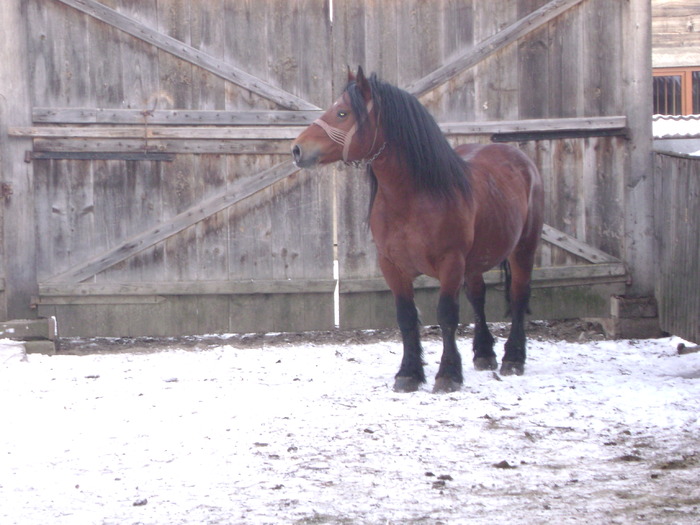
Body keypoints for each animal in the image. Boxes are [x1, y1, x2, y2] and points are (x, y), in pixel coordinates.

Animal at [292, 67, 544, 390]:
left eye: (342, 113)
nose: (297, 149)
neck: (414, 198)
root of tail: (520, 159)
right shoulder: (392, 266)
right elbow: (406, 317)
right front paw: (409, 373)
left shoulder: (451, 263)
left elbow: (446, 316)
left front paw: (448, 374)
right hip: (476, 262)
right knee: (478, 297)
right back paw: (484, 353)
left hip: (523, 249)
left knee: (519, 294)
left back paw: (514, 357)